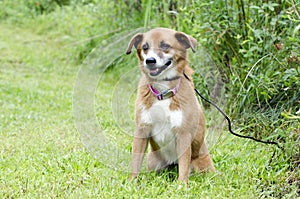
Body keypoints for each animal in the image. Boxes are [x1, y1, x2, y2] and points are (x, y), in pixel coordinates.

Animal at [125, 27, 214, 183]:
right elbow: (135, 162)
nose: (150, 61)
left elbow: (184, 167)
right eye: (145, 47)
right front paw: (131, 182)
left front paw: (181, 185)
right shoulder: (142, 129)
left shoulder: (183, 133)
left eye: (165, 46)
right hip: (153, 161)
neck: (163, 91)